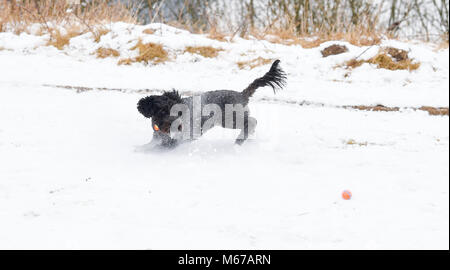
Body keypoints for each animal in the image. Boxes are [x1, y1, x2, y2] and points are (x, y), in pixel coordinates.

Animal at [136, 59, 288, 148]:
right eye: (162, 111)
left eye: (177, 111)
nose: (177, 126)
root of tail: (242, 94)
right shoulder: (159, 136)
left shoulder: (178, 138)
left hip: (229, 118)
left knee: (251, 121)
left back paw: (239, 141)